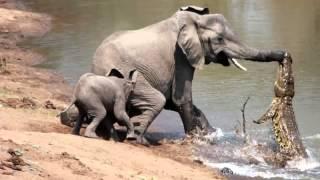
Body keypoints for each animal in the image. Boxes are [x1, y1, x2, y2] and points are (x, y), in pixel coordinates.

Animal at [92, 5, 284, 144]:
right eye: (219, 39)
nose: (283, 54)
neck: (194, 20)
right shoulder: (180, 56)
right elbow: (180, 98)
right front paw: (194, 139)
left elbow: (174, 101)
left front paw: (210, 134)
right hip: (124, 76)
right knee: (156, 100)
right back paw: (138, 140)